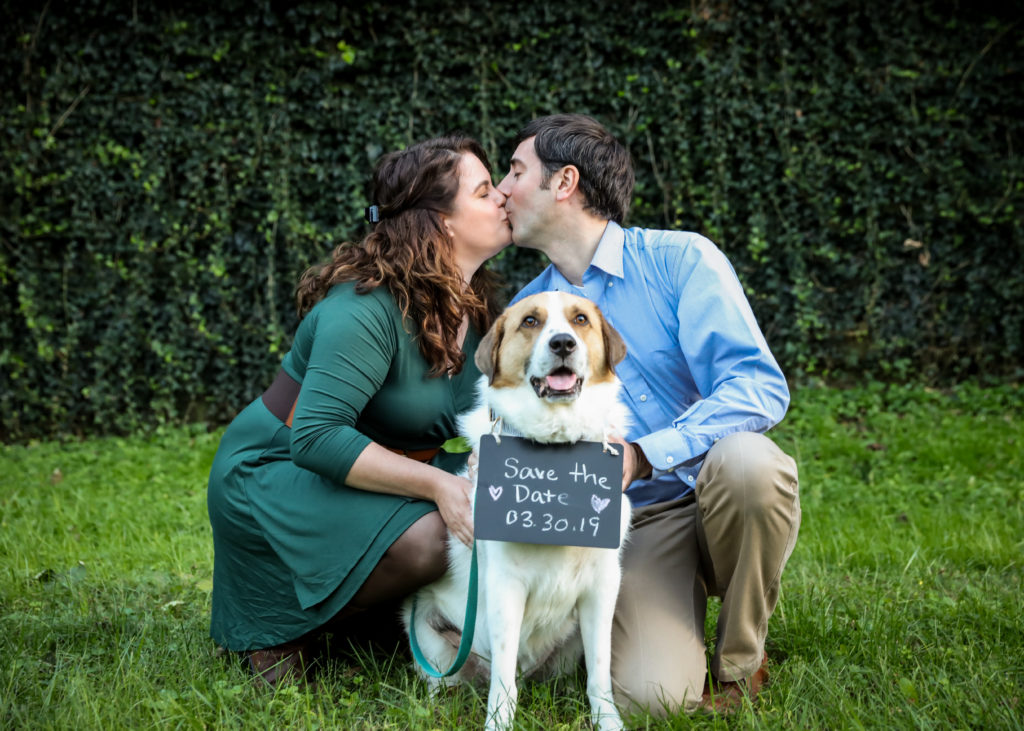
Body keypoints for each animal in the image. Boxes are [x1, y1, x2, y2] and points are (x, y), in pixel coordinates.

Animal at [402, 291, 631, 731]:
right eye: (530, 321)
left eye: (580, 319)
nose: (563, 344)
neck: (557, 449)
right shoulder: (505, 586)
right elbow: (504, 676)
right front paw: (499, 723)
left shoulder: (602, 585)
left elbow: (600, 669)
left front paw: (607, 720)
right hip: (425, 628)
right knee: (449, 682)